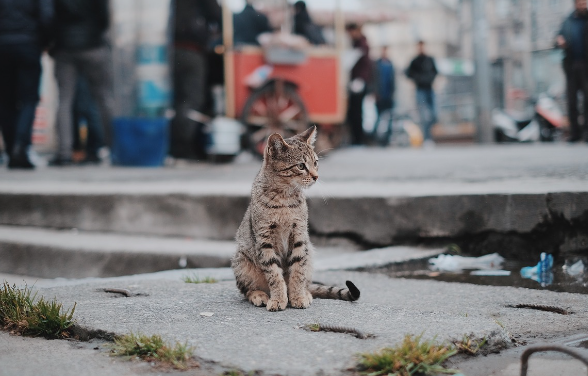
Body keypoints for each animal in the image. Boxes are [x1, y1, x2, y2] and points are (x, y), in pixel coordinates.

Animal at [232, 126, 360, 312]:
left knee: (306, 280)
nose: (316, 176)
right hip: (241, 261)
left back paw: (305, 293)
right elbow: (274, 274)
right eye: (301, 166)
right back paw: (259, 295)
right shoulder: (264, 240)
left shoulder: (299, 235)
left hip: (310, 253)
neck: (284, 198)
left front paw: (298, 296)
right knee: (247, 289)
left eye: (316, 163)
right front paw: (278, 299)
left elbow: (298, 271)